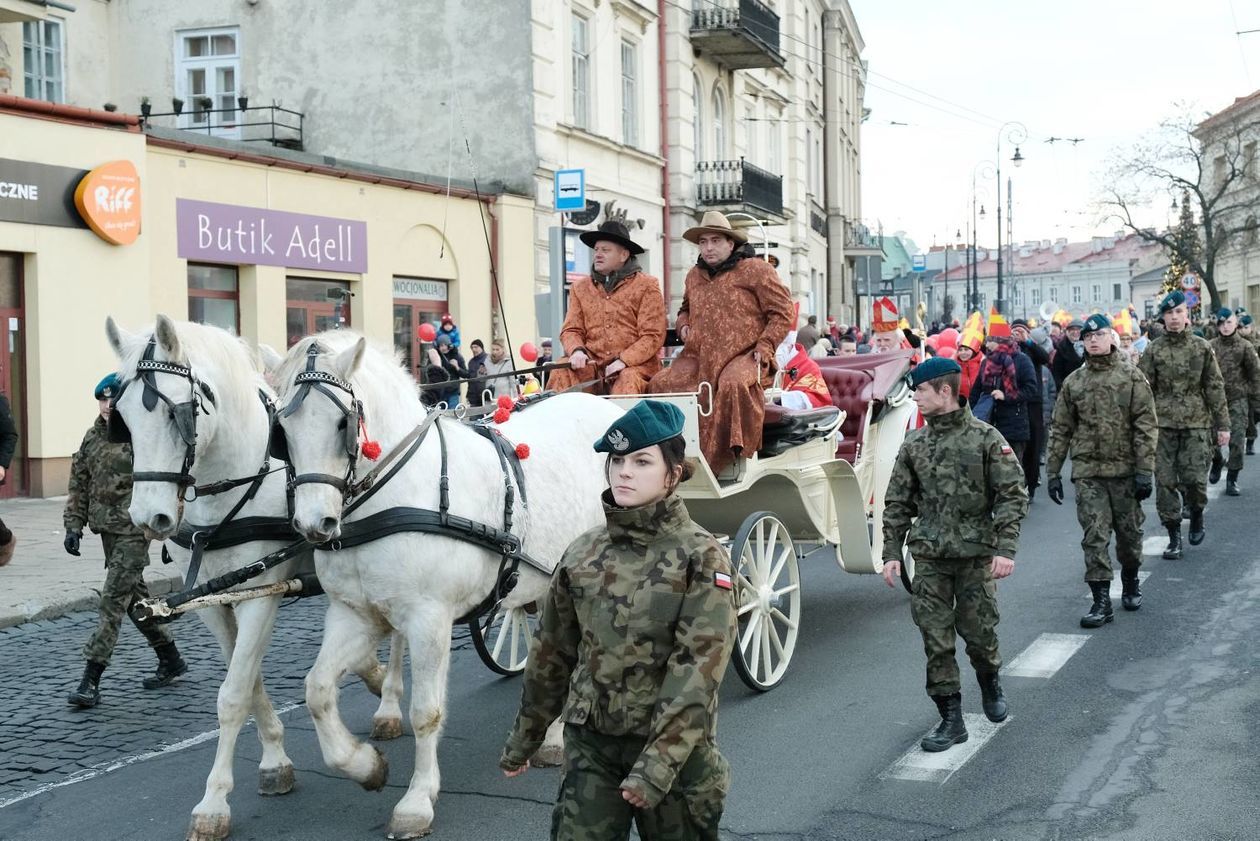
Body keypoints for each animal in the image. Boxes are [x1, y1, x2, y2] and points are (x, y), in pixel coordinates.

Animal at [108, 315, 405, 841]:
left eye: (176, 414)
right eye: (121, 417)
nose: (148, 517)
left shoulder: (258, 595)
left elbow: (232, 694)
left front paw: (212, 804)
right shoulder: (216, 603)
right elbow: (247, 681)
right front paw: (274, 762)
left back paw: (388, 702)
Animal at [273, 332, 622, 837]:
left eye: (344, 423)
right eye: (281, 430)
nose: (313, 523)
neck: (399, 493)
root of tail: (605, 407)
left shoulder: (428, 619)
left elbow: (427, 712)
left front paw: (417, 800)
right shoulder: (354, 613)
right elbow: (317, 690)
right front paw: (364, 765)